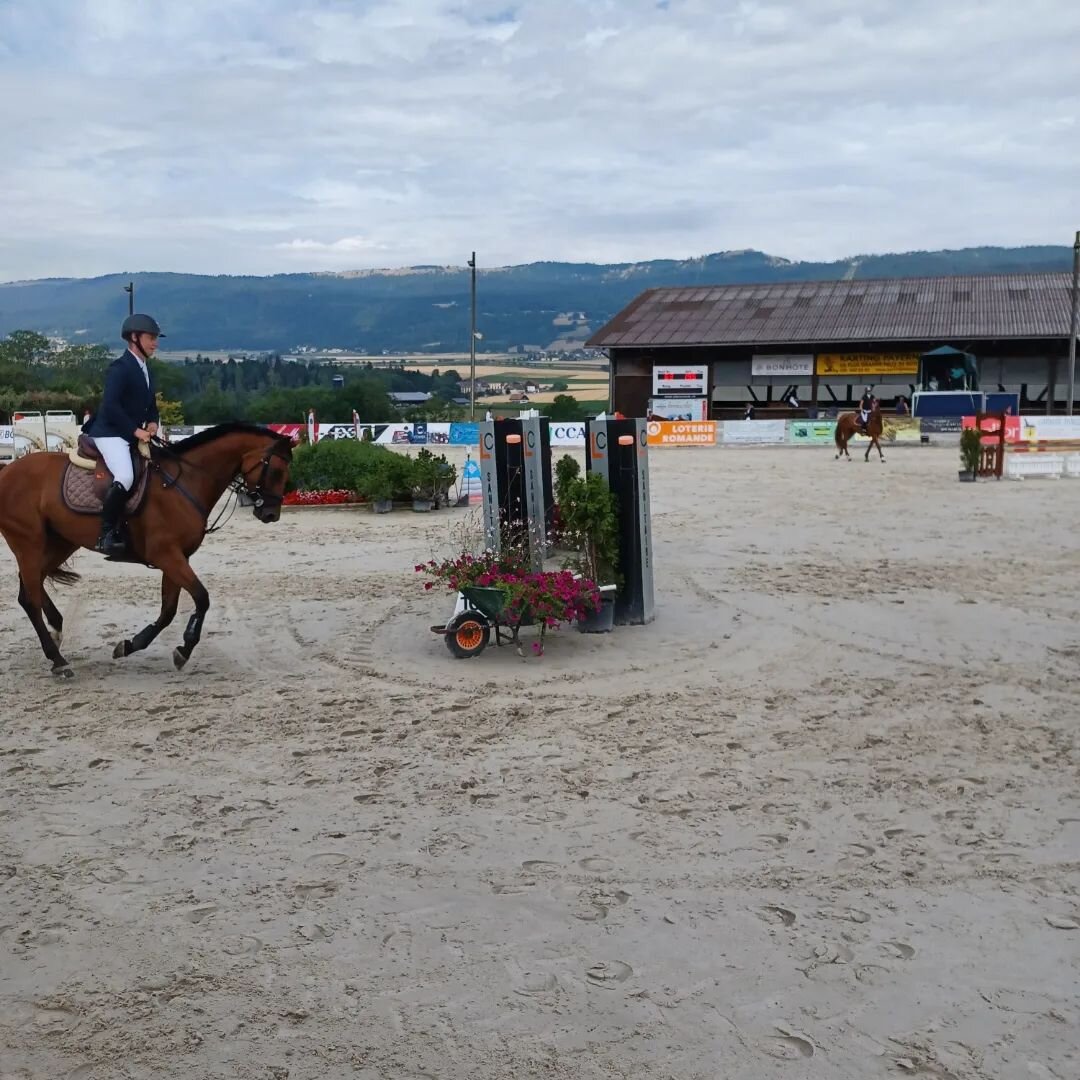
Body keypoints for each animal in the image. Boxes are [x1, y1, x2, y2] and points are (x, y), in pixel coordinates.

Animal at [0, 419, 293, 673]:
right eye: (277, 470)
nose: (270, 514)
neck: (184, 481)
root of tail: (7, 471)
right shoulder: (167, 555)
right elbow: (202, 598)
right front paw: (185, 647)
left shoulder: (177, 557)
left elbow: (169, 610)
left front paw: (131, 645)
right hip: (29, 543)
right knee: (30, 598)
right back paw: (58, 660)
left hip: (61, 542)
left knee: (30, 588)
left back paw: (57, 629)